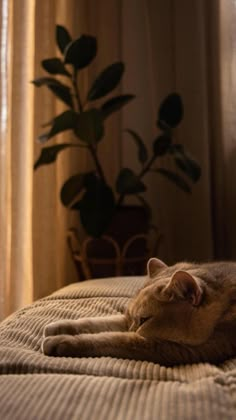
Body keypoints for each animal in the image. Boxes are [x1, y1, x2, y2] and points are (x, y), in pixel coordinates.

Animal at [41, 258, 236, 366]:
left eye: (144, 320)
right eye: (135, 320)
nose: (132, 330)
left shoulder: (175, 349)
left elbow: (112, 340)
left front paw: (60, 341)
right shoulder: (125, 320)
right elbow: (95, 322)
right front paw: (56, 327)